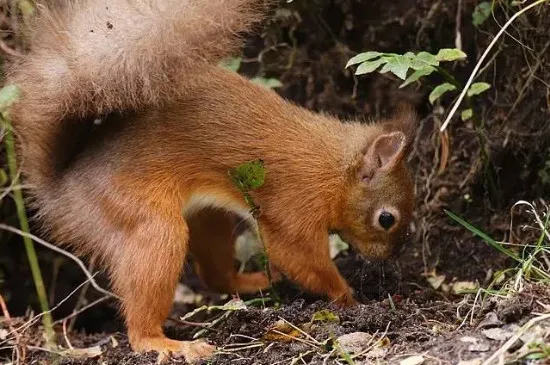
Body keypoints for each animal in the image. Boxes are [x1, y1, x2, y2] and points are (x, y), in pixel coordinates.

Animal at [6, 0, 416, 360]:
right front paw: (352, 299)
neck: (334, 171)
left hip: (208, 219)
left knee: (215, 276)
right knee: (143, 316)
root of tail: (60, 193)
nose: (392, 256)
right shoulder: (295, 206)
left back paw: (252, 283)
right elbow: (298, 257)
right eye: (387, 219)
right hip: (144, 222)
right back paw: (165, 342)